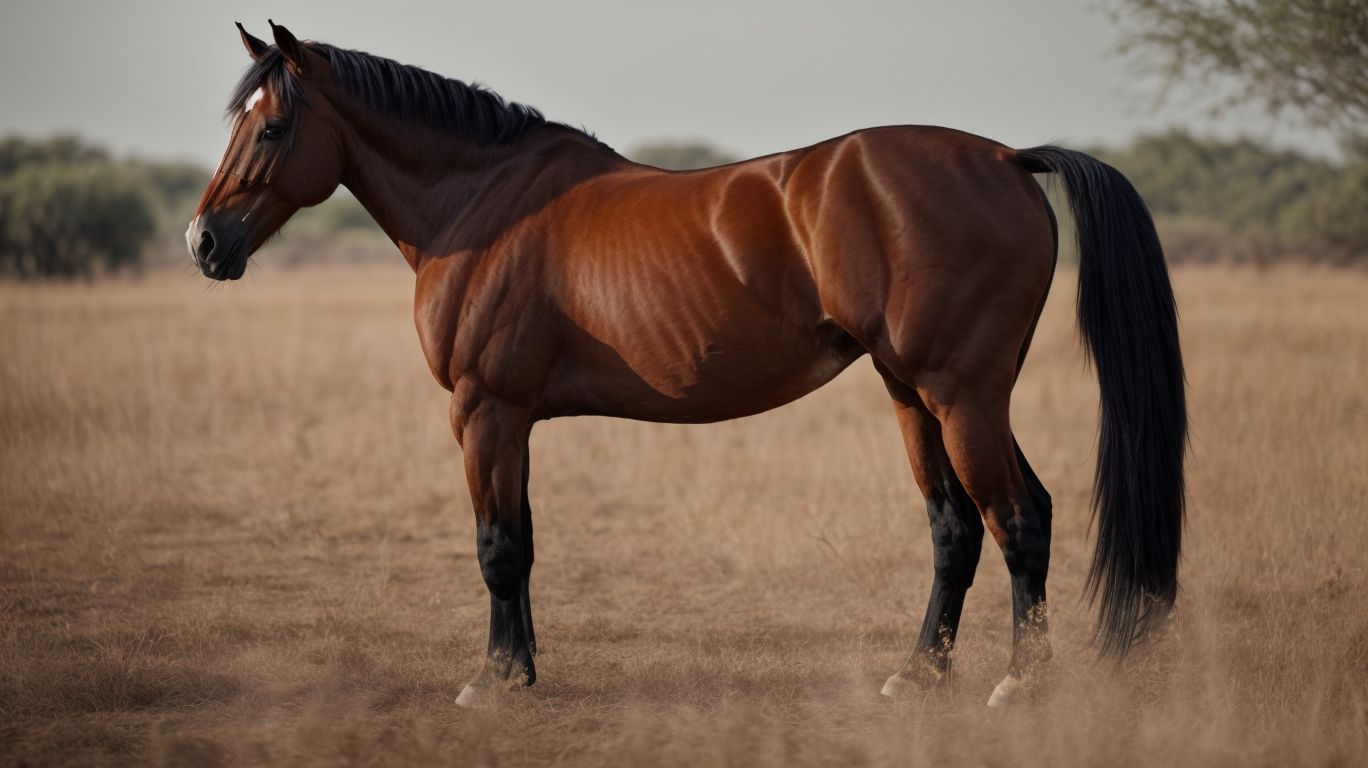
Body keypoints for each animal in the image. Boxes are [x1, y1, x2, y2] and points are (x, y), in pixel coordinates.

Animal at [189, 21, 1187, 709]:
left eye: (272, 127)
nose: (204, 243)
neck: (483, 205)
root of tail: (1009, 157)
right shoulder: (511, 420)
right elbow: (526, 541)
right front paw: (524, 670)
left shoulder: (485, 410)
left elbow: (497, 547)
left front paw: (492, 681)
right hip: (914, 395)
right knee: (956, 529)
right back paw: (917, 675)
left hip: (963, 396)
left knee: (1018, 519)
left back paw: (1021, 684)